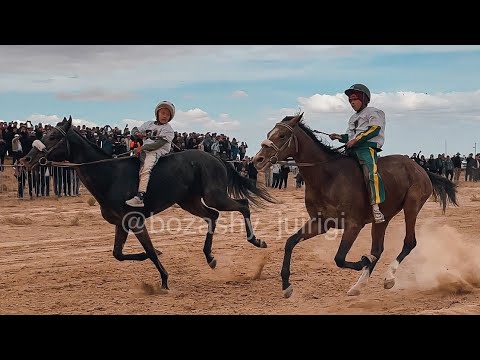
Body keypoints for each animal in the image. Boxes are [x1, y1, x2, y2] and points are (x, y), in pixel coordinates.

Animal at [21, 116, 278, 292]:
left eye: (53, 137)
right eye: (44, 134)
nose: (26, 159)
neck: (109, 174)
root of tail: (216, 157)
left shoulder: (135, 221)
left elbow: (151, 251)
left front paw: (164, 280)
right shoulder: (121, 224)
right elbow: (119, 254)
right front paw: (152, 261)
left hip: (214, 195)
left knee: (242, 205)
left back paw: (256, 240)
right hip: (190, 201)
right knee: (213, 216)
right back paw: (210, 257)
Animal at [251, 113, 458, 298]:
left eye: (282, 135)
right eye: (270, 132)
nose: (257, 160)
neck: (328, 177)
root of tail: (421, 168)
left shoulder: (353, 225)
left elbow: (339, 258)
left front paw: (363, 261)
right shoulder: (321, 222)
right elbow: (290, 242)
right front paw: (286, 285)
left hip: (411, 207)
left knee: (409, 242)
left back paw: (389, 277)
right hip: (382, 219)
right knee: (378, 249)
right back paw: (358, 286)